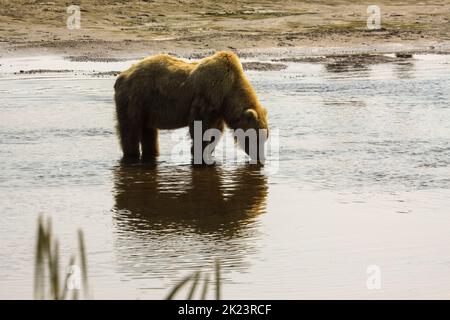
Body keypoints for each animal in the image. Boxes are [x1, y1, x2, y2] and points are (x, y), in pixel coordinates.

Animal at [115, 51, 268, 164]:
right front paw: (199, 153)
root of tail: (122, 76)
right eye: (257, 138)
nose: (260, 157)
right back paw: (132, 154)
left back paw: (152, 153)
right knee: (130, 129)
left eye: (265, 138)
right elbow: (201, 127)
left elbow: (215, 130)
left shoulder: (218, 109)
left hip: (148, 106)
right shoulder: (208, 96)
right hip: (136, 98)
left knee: (148, 131)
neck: (229, 90)